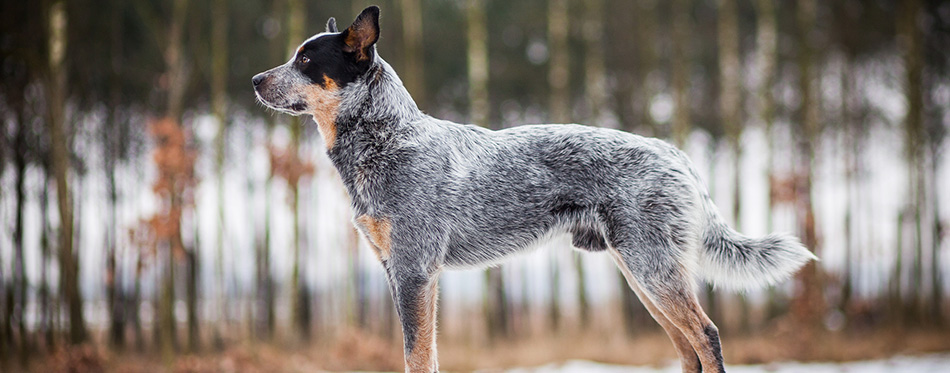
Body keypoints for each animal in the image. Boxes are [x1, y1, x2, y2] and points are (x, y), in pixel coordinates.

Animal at [253, 6, 820, 372]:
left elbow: (418, 354)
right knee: (687, 349)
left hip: (652, 268)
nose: (256, 79)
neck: (387, 138)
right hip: (642, 272)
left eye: (306, 61)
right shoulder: (398, 269)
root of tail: (674, 153)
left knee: (706, 336)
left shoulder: (415, 271)